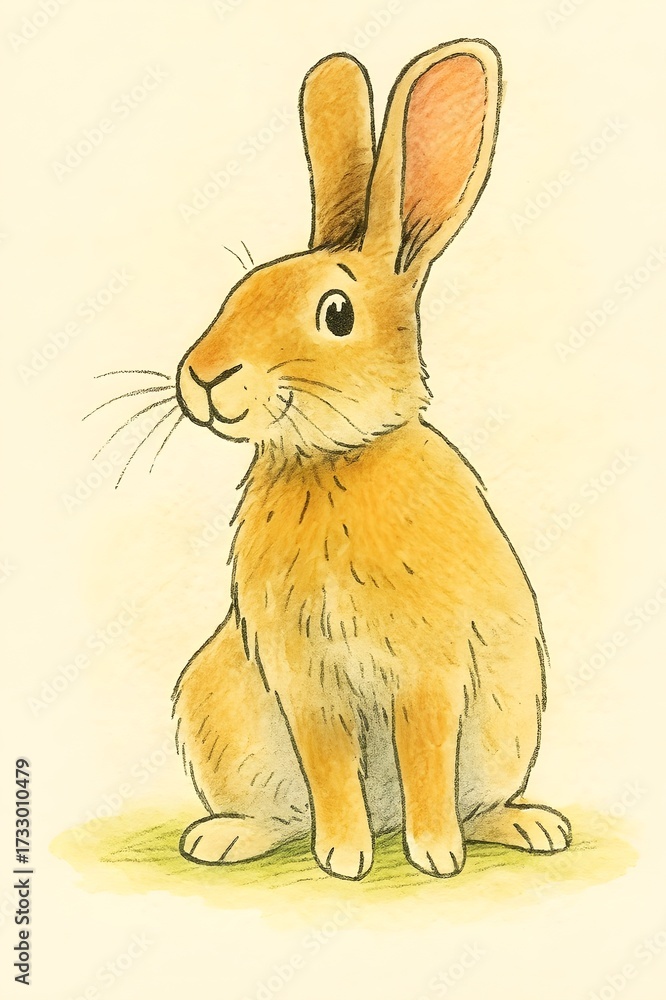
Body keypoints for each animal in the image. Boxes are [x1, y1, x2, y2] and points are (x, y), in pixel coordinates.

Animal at [172, 38, 571, 880]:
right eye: (240, 290)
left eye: (336, 313)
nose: (204, 375)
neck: (334, 460)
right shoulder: (304, 681)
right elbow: (329, 768)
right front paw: (346, 856)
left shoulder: (430, 671)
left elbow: (424, 757)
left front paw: (435, 855)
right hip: (221, 712)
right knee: (281, 813)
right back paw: (225, 838)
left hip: (509, 723)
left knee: (474, 797)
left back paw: (522, 827)